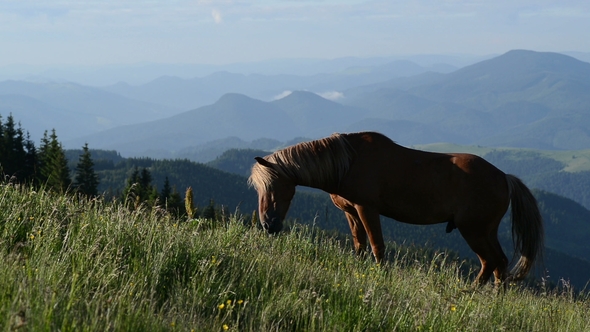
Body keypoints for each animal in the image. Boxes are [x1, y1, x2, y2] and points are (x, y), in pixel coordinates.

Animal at [247, 131, 544, 284]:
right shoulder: (351, 212)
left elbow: (377, 245)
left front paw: (381, 275)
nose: (268, 225)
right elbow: (359, 244)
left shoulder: (366, 209)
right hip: (486, 230)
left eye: (273, 186)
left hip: (473, 230)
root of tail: (504, 177)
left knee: (490, 262)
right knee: (499, 263)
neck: (346, 163)